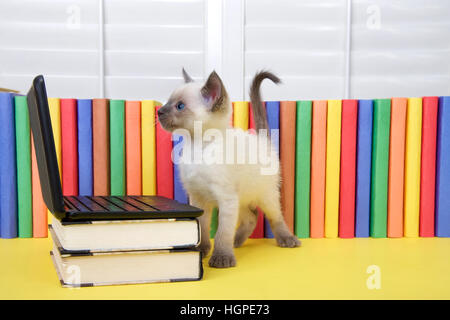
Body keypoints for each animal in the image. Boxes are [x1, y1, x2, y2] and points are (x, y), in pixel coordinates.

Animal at [156, 70, 300, 268]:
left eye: (180, 106)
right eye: (167, 103)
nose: (159, 111)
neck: (197, 148)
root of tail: (262, 140)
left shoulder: (226, 198)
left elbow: (222, 232)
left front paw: (222, 258)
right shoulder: (198, 197)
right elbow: (202, 226)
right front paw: (202, 250)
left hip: (265, 195)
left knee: (275, 216)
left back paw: (287, 239)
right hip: (242, 198)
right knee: (252, 217)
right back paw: (237, 241)